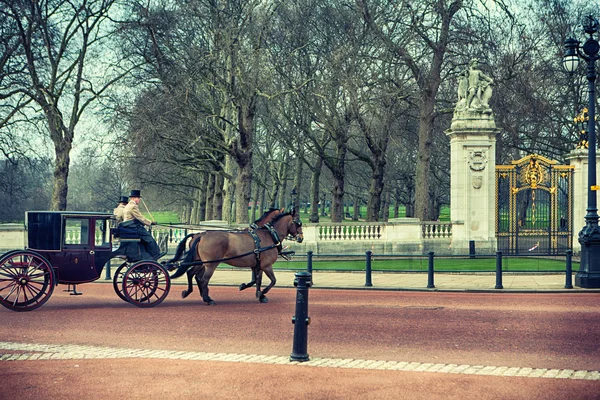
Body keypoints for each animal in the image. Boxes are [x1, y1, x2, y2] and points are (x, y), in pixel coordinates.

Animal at [171, 211, 304, 304]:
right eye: (298, 223)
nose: (301, 238)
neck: (270, 235)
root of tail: (201, 235)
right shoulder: (267, 266)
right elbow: (273, 280)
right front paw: (262, 293)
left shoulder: (258, 265)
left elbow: (258, 280)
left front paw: (259, 294)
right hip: (211, 264)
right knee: (203, 279)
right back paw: (208, 299)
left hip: (200, 262)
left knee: (191, 274)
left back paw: (192, 293)